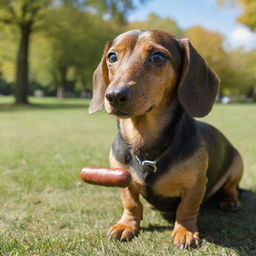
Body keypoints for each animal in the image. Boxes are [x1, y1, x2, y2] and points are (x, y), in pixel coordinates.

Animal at [89, 29, 243, 248]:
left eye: (157, 57)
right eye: (112, 57)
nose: (114, 96)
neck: (145, 144)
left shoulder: (196, 184)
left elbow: (187, 208)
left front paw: (185, 231)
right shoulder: (121, 178)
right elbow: (131, 203)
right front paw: (126, 225)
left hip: (238, 164)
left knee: (231, 187)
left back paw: (230, 201)